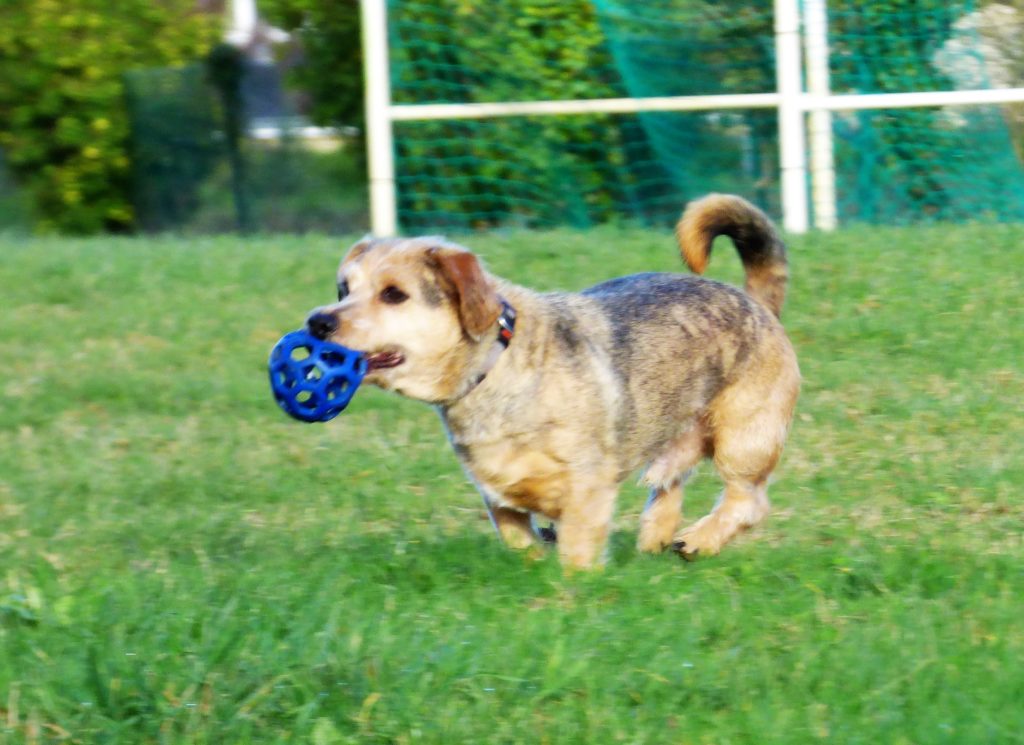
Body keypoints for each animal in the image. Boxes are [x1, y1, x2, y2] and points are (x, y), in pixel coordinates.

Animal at [303, 195, 798, 568]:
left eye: (394, 294)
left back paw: (700, 538)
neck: (496, 367)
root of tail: (756, 304)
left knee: (748, 500)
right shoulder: (496, 493)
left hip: (744, 438)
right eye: (344, 289)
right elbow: (515, 533)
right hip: (676, 436)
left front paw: (573, 593)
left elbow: (577, 550)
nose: (317, 322)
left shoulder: (587, 487)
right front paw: (533, 561)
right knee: (670, 480)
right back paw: (655, 535)